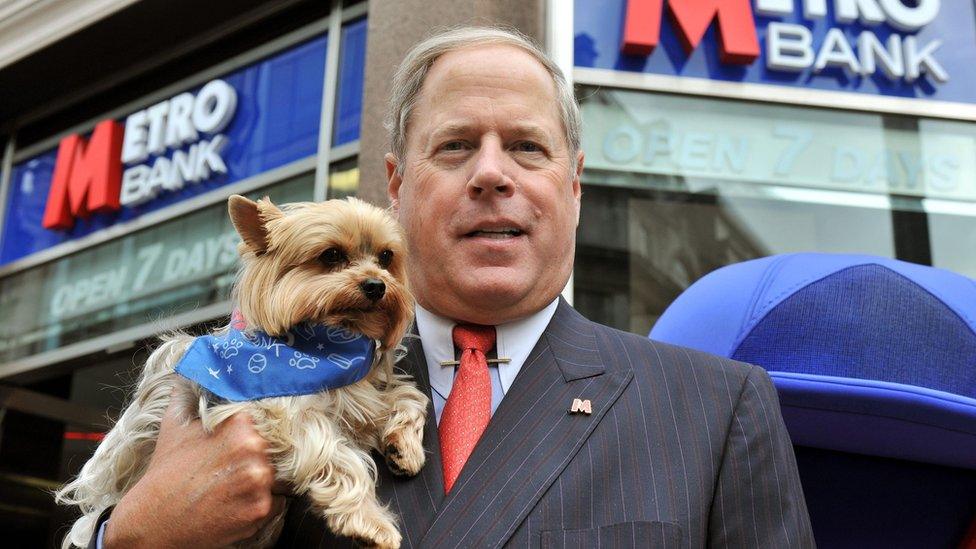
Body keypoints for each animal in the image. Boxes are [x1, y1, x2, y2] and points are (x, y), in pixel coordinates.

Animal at [55, 195, 428, 544]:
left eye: (386, 257)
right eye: (331, 255)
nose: (377, 285)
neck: (326, 346)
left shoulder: (356, 390)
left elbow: (407, 395)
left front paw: (403, 446)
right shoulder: (275, 406)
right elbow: (333, 450)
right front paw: (370, 522)